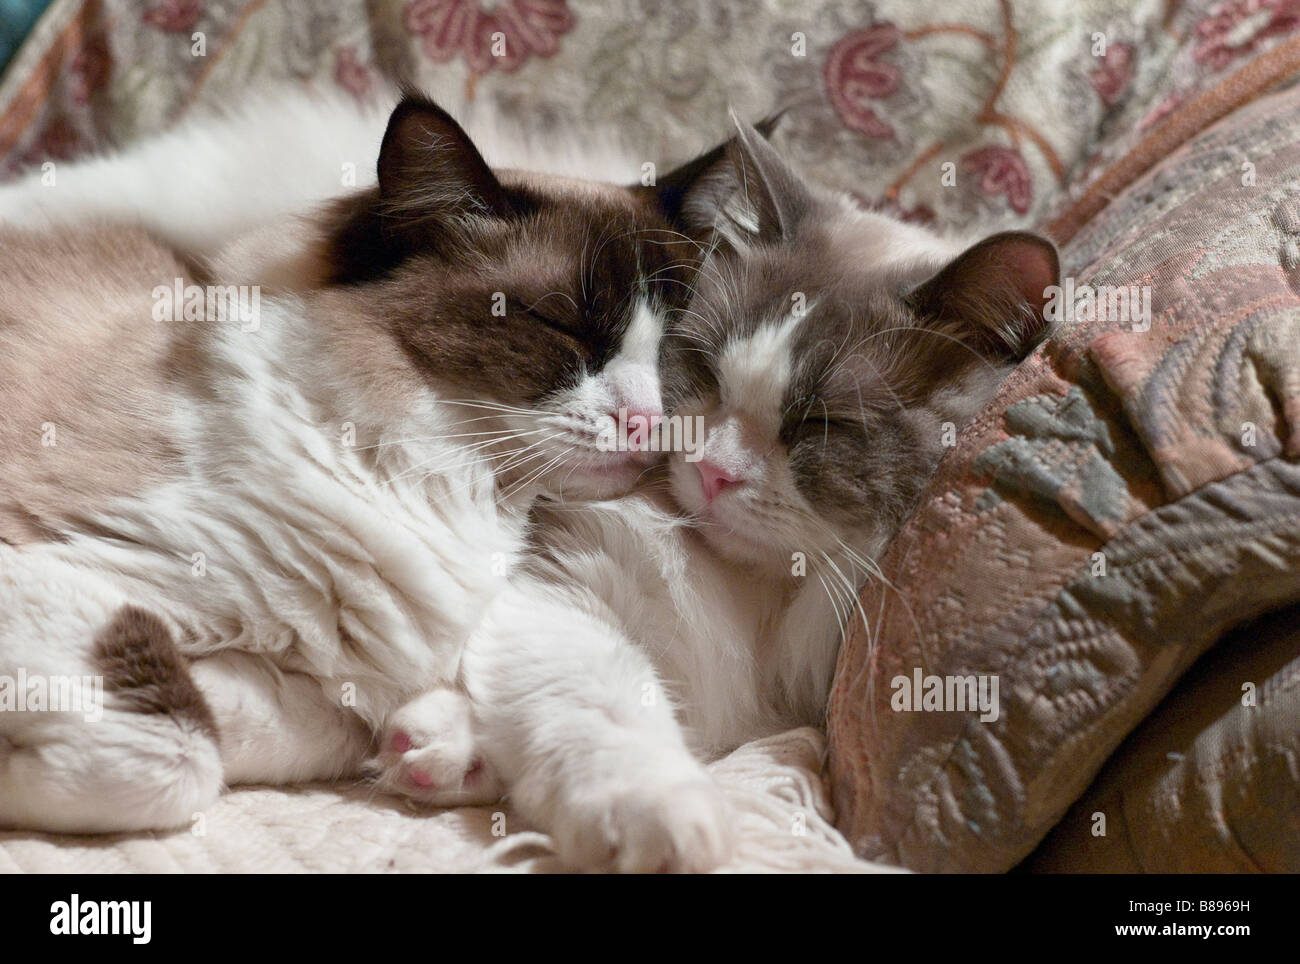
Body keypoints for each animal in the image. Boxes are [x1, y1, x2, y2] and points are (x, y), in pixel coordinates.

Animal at [0, 92, 722, 836]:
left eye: (676, 354)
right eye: (566, 326)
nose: (649, 422)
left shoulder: (320, 692)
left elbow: (245, 732)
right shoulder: (54, 566)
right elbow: (176, 755)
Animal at [374, 116, 1055, 873]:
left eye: (820, 424)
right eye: (704, 371)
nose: (712, 471)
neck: (765, 600)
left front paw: (446, 745)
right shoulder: (565, 586)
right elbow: (605, 713)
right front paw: (657, 824)